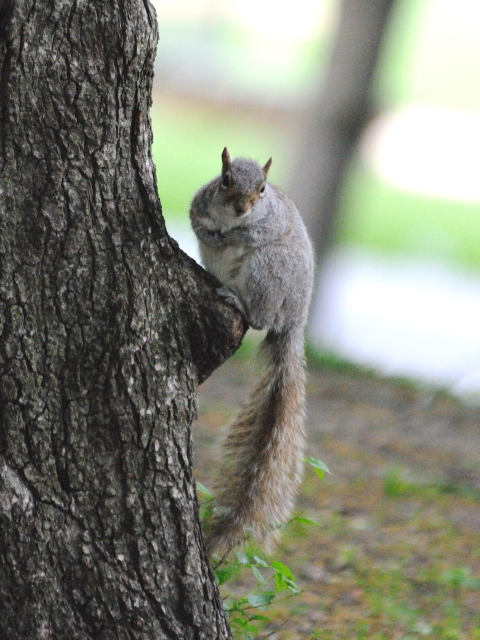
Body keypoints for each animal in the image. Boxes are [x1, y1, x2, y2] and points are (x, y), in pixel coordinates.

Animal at [189, 149, 314, 556]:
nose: (242, 208)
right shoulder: (199, 201)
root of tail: (295, 320)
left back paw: (238, 301)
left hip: (267, 272)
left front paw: (236, 234)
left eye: (262, 189)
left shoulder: (271, 224)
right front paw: (209, 233)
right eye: (225, 179)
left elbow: (256, 231)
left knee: (262, 318)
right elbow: (195, 218)